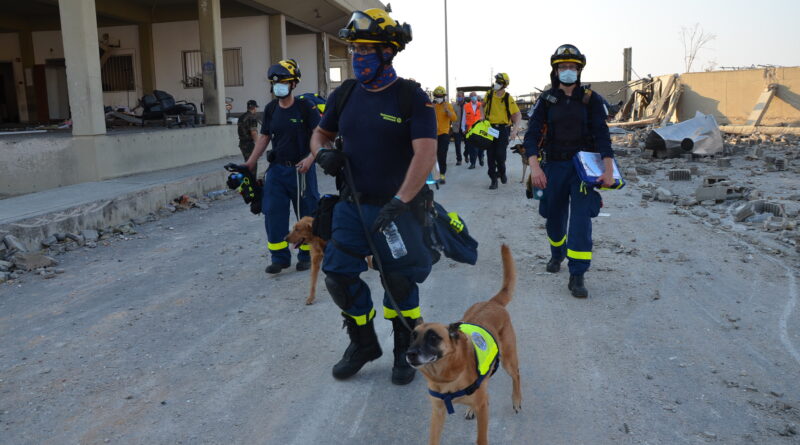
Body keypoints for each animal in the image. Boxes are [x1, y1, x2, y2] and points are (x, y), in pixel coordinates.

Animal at [406, 244, 521, 445]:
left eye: (433, 337)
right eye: (413, 336)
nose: (409, 354)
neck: (445, 376)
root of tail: (492, 303)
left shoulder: (482, 409)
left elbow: (481, 438)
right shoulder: (438, 411)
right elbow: (433, 439)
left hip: (508, 360)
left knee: (516, 375)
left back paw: (516, 400)